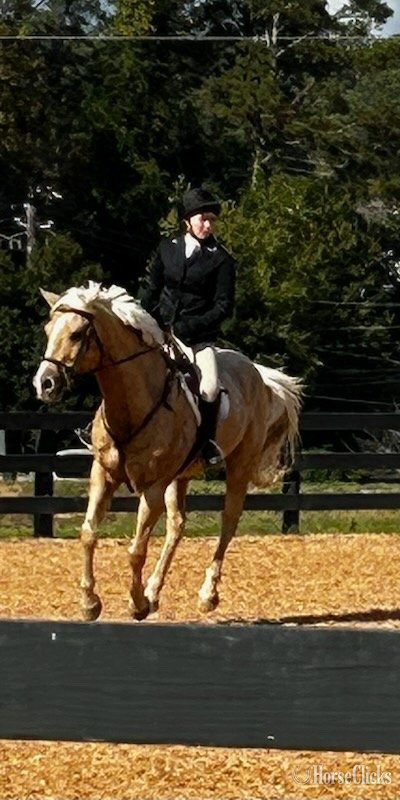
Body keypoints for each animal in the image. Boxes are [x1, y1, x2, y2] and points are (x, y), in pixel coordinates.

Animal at [33, 282, 302, 621]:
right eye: (48, 329)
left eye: (78, 334)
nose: (44, 384)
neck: (132, 406)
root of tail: (255, 372)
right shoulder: (103, 474)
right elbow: (88, 533)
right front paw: (90, 603)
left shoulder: (153, 487)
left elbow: (136, 550)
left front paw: (135, 604)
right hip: (181, 476)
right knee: (177, 525)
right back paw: (153, 591)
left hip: (238, 466)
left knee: (228, 521)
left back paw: (206, 595)